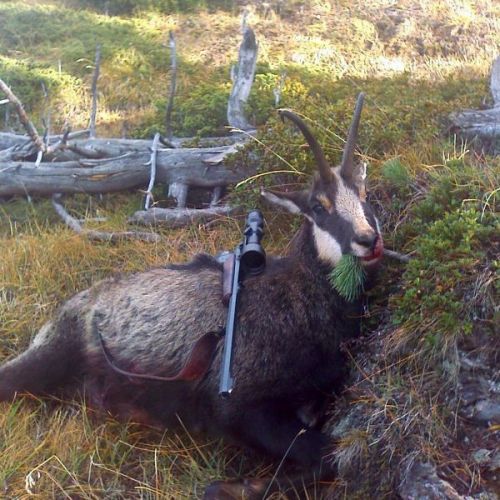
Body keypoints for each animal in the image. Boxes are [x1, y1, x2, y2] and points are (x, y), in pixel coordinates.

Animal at [0, 94, 383, 499]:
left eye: (362, 194)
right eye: (318, 207)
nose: (368, 240)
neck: (297, 297)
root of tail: (82, 301)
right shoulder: (238, 407)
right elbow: (328, 457)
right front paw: (229, 487)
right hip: (49, 354)